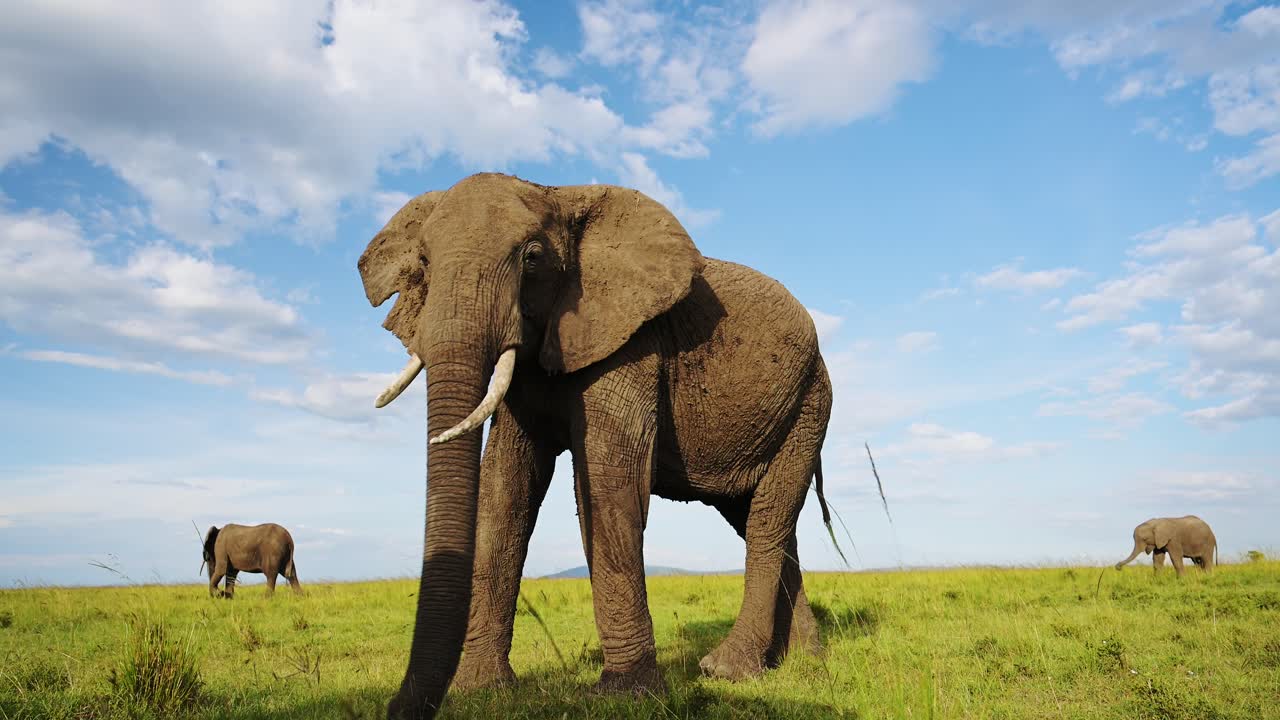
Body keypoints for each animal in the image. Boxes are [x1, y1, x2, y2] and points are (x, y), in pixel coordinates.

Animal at [358, 173, 838, 719]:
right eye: (422, 262)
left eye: (532, 258)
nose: (396, 708)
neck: (559, 195)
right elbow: (504, 493)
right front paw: (479, 689)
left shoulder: (630, 342)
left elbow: (609, 484)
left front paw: (626, 695)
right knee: (763, 521)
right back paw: (801, 660)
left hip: (809, 404)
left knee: (766, 522)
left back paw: (728, 669)